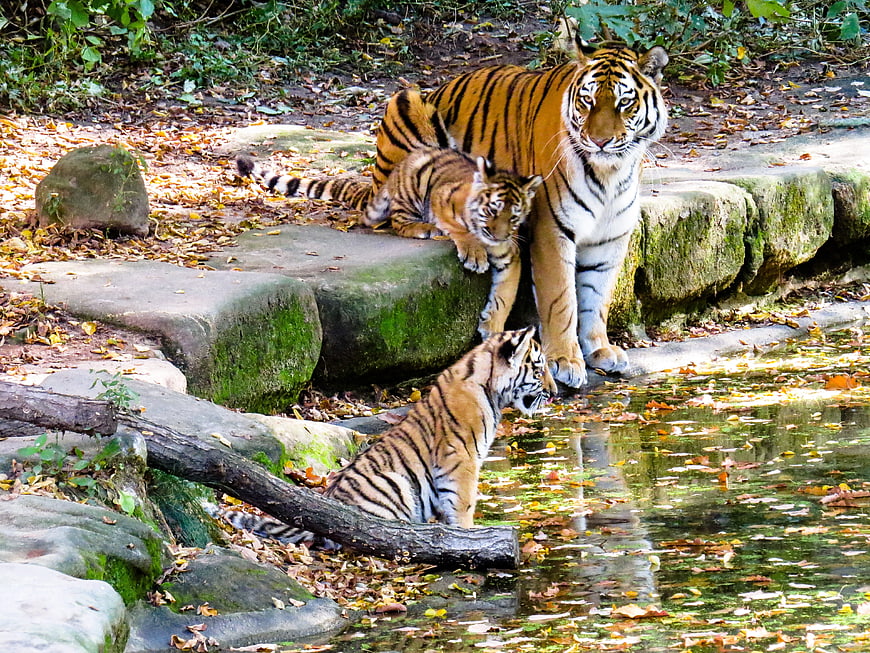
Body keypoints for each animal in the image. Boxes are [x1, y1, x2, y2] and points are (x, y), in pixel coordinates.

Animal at [214, 327, 556, 546]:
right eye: (539, 370)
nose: (555, 393)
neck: (491, 389)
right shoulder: (461, 458)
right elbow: (463, 502)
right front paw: (469, 535)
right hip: (395, 486)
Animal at [236, 146, 542, 338]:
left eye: (514, 216)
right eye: (492, 210)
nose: (499, 236)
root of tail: (395, 171)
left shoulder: (510, 257)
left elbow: (504, 297)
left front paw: (493, 327)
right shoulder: (442, 197)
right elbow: (460, 228)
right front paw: (473, 253)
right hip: (414, 187)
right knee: (398, 222)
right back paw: (425, 228)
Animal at [373, 39, 669, 388]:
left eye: (625, 102)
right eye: (587, 100)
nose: (599, 141)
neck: (611, 173)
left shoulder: (611, 237)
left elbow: (598, 295)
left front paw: (600, 349)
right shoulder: (553, 229)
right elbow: (561, 299)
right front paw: (565, 360)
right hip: (406, 104)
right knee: (404, 210)